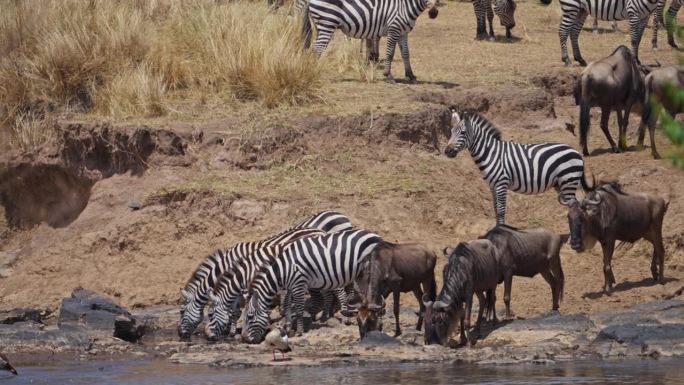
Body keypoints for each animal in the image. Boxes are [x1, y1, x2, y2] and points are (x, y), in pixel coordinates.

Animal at [176, 210, 352, 340]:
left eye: (182, 311)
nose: (180, 335)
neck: (233, 265)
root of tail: (319, 230)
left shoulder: (247, 285)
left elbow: (239, 308)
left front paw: (234, 330)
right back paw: (325, 316)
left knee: (338, 290)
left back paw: (342, 317)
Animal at [240, 228, 382, 342]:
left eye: (250, 317)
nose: (244, 339)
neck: (283, 270)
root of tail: (376, 234)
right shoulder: (290, 286)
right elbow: (286, 305)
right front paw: (288, 326)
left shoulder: (298, 283)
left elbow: (298, 307)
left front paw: (299, 330)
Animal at [304, 0, 438, 83]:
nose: (433, 13)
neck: (405, 6)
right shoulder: (394, 28)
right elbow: (390, 53)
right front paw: (388, 75)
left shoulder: (403, 33)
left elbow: (406, 53)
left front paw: (410, 75)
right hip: (328, 22)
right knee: (319, 48)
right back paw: (314, 72)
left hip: (321, 26)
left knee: (314, 47)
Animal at [444, 109, 588, 224]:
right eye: (451, 131)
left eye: (463, 132)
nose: (447, 151)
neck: (491, 153)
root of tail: (576, 151)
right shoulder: (492, 185)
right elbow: (495, 208)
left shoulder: (501, 183)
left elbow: (501, 210)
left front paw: (501, 230)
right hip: (560, 184)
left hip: (568, 181)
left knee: (575, 205)